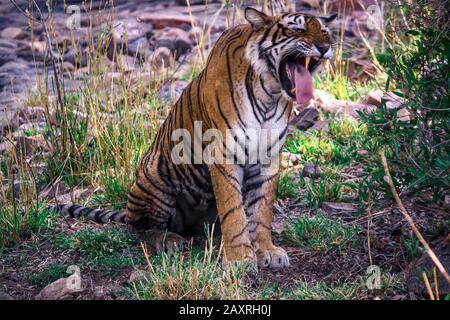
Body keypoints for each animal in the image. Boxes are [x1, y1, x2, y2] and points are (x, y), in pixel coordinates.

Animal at [51, 6, 334, 268]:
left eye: (325, 31)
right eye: (296, 29)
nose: (325, 47)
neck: (270, 93)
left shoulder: (268, 157)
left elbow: (261, 211)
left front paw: (266, 251)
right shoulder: (224, 154)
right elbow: (234, 212)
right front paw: (240, 259)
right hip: (155, 176)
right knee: (142, 228)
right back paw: (170, 241)